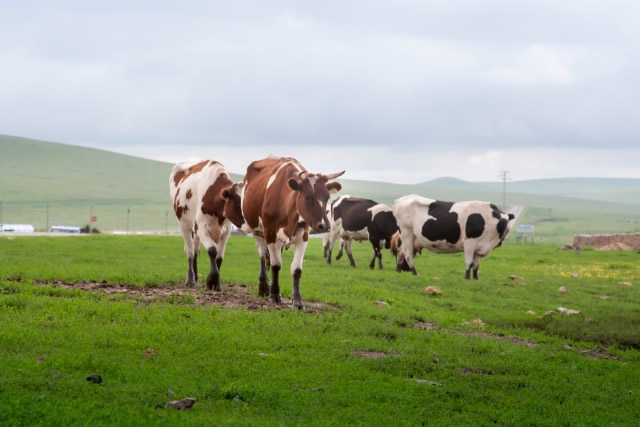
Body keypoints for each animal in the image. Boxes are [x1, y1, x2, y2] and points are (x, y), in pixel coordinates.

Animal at [169, 160, 244, 290]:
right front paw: (211, 280)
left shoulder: (226, 231)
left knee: (195, 249)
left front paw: (217, 284)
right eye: (238, 203)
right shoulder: (200, 228)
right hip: (184, 225)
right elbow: (212, 250)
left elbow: (219, 257)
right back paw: (190, 279)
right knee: (190, 251)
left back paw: (196, 276)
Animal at [242, 156, 344, 308]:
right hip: (256, 231)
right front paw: (274, 294)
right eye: (308, 197)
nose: (324, 226)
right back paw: (264, 288)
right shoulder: (270, 234)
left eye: (327, 197)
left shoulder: (304, 236)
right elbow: (276, 265)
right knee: (262, 255)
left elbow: (296, 269)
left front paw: (297, 300)